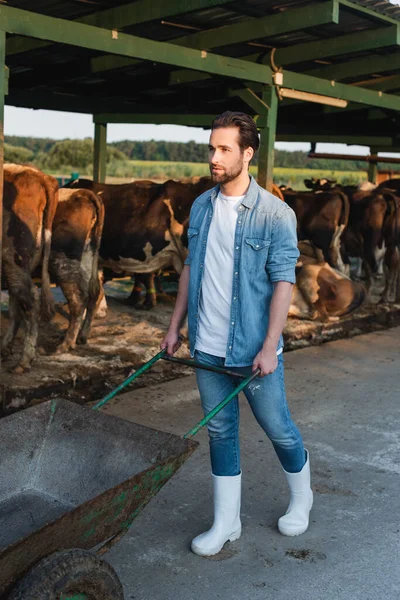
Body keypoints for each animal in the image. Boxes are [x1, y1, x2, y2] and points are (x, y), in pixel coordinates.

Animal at [48, 189, 105, 352]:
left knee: (78, 300)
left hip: (62, 260)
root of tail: (81, 192)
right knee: (94, 293)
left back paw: (65, 345)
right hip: (86, 257)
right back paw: (81, 337)